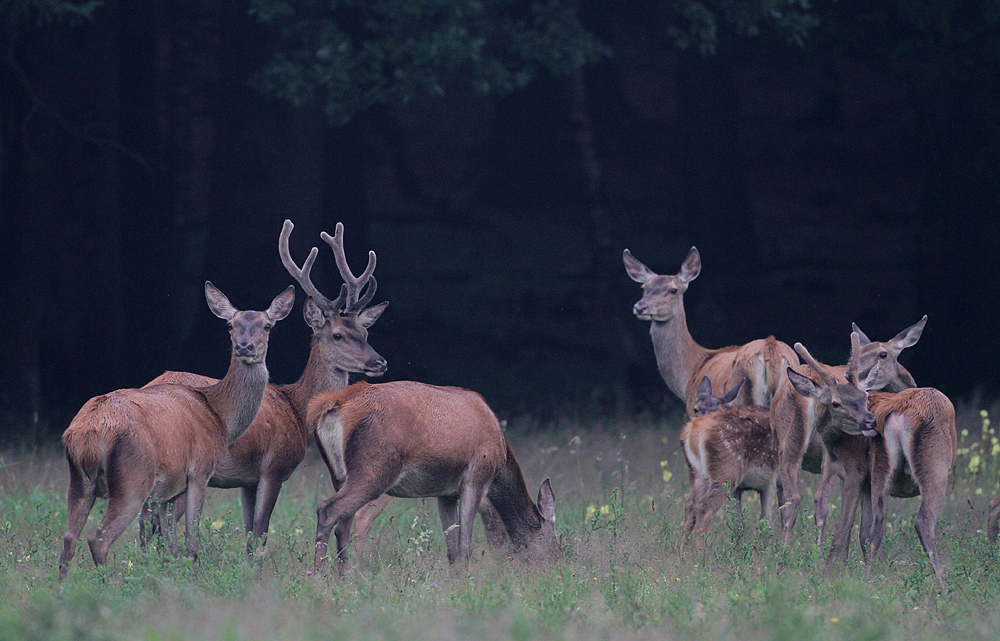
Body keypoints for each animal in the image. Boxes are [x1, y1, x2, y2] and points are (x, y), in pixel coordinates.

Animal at [59, 282, 294, 576]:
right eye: (230, 324)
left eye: (267, 325)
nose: (244, 347)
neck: (220, 417)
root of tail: (87, 433)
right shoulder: (200, 471)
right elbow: (190, 541)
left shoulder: (167, 491)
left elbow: (168, 543)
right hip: (133, 478)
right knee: (98, 538)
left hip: (78, 479)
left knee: (69, 537)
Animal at [145, 221, 386, 552]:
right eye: (338, 335)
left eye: (365, 332)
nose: (380, 362)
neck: (297, 408)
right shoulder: (274, 469)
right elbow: (260, 535)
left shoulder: (247, 480)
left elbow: (249, 536)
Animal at [308, 380, 560, 568]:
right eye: (554, 547)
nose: (554, 570)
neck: (502, 455)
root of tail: (335, 404)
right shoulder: (476, 476)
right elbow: (466, 547)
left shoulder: (446, 493)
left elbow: (452, 551)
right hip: (374, 468)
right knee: (328, 510)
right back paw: (319, 576)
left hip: (339, 474)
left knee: (343, 524)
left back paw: (343, 577)